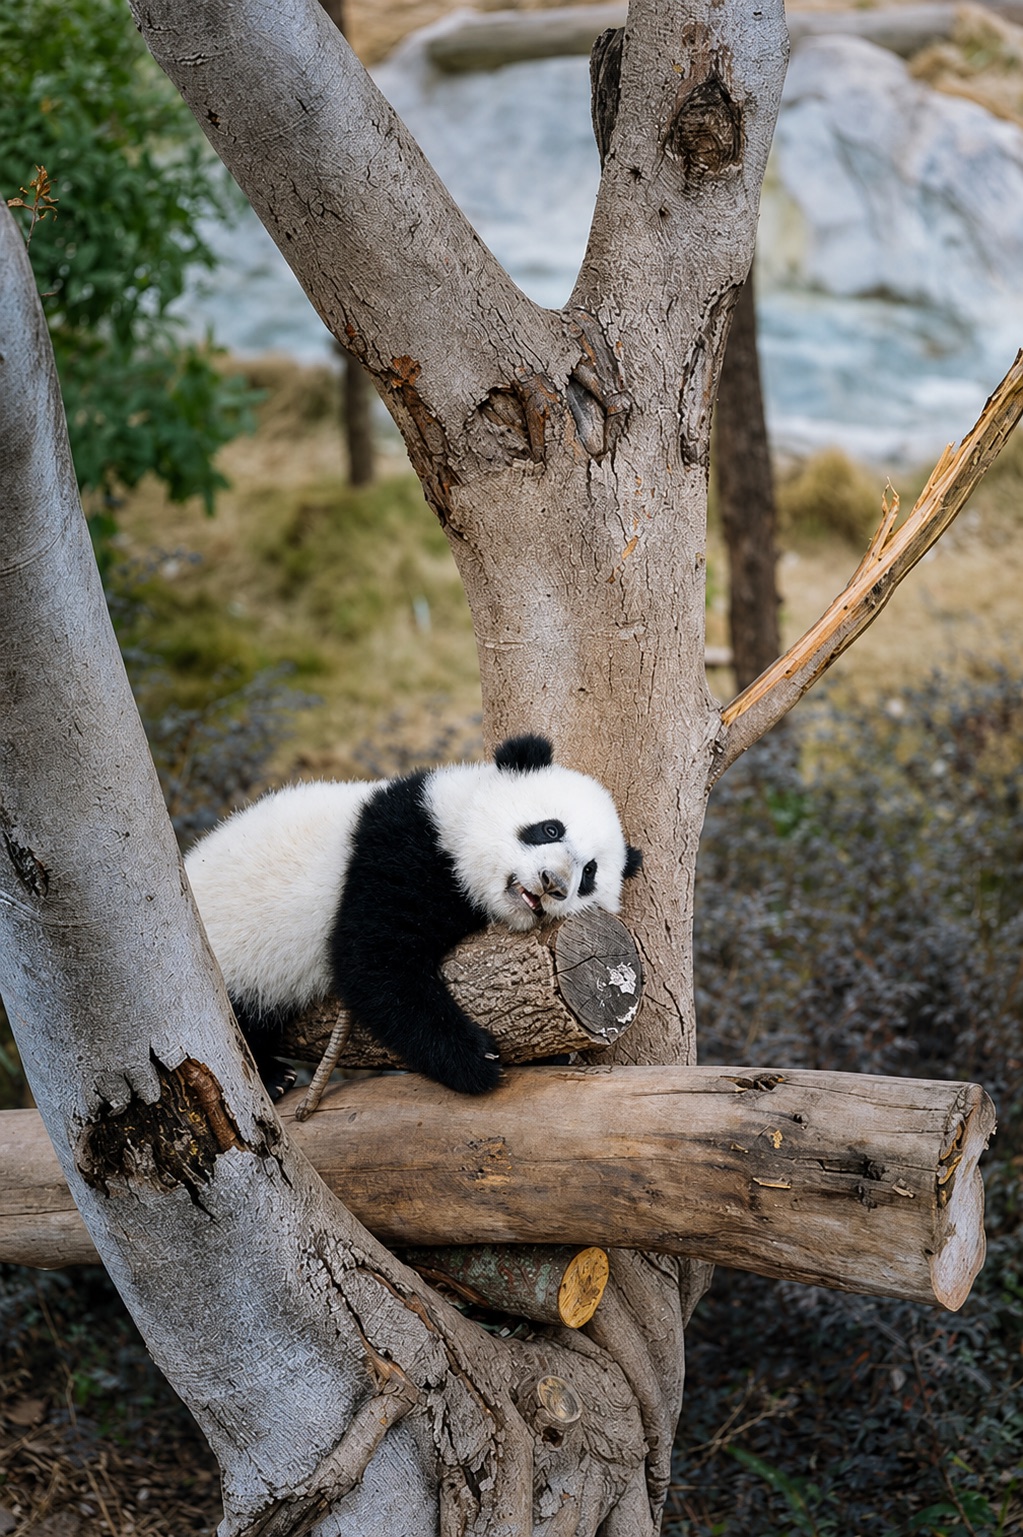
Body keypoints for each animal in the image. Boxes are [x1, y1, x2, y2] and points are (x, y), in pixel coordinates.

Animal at [184, 734, 643, 1099]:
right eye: (550, 829)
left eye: (589, 873)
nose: (553, 884)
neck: (454, 826)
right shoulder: (398, 848)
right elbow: (373, 962)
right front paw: (476, 1059)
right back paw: (273, 1076)